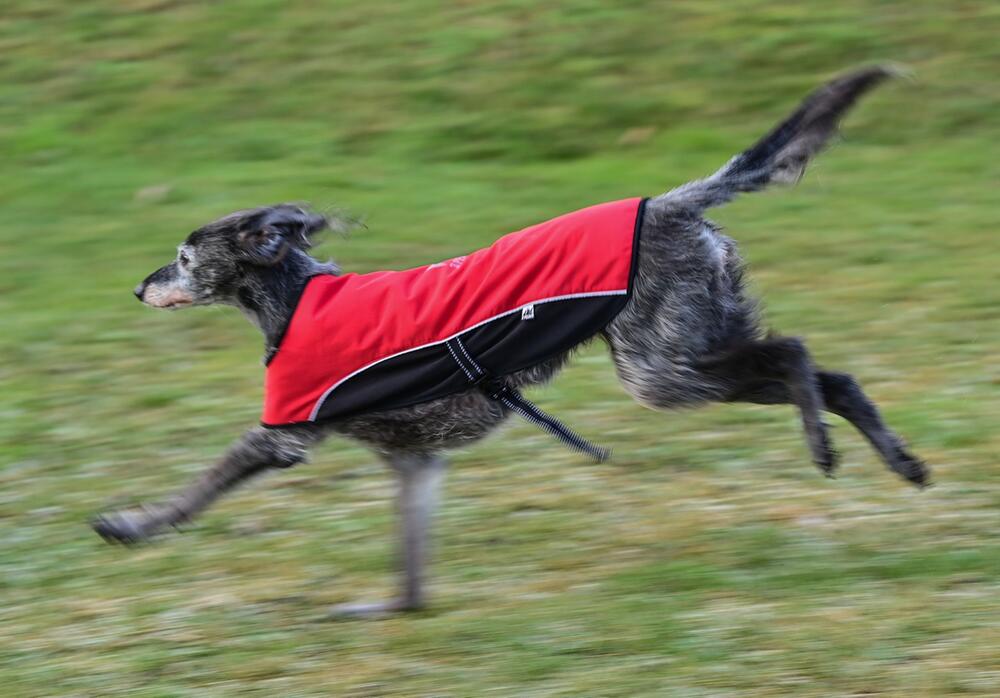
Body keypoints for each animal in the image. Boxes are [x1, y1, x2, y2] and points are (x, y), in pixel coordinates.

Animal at [94, 66, 928, 616]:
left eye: (185, 257)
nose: (136, 287)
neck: (297, 297)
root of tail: (669, 203)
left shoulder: (281, 436)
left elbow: (197, 490)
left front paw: (130, 525)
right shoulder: (413, 462)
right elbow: (410, 570)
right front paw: (394, 611)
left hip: (661, 369)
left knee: (796, 356)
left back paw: (824, 446)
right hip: (686, 350)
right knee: (836, 375)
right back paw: (901, 461)